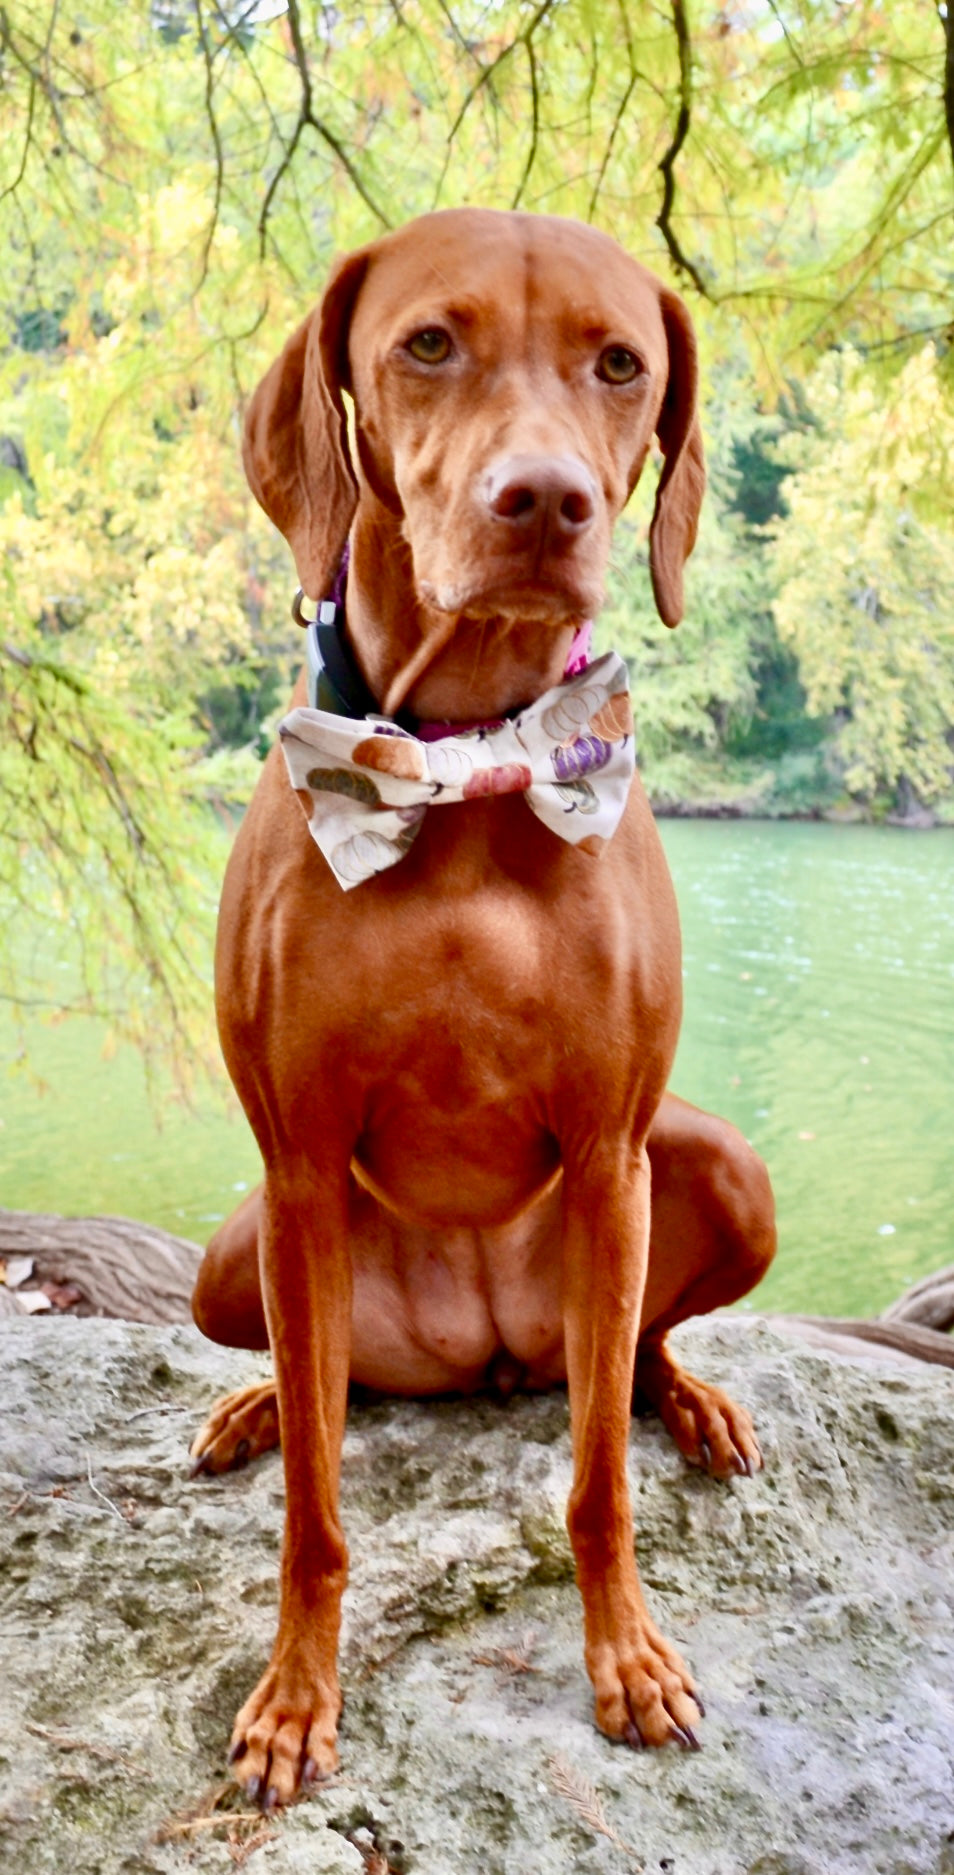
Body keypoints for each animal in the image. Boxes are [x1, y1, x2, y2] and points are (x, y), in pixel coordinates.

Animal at [191, 209, 772, 1815]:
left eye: (620, 363)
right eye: (428, 344)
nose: (546, 501)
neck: (460, 765)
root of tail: (483, 1353)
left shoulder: (614, 1149)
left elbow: (596, 1484)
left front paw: (627, 1660)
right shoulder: (296, 1164)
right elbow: (317, 1517)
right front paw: (294, 1701)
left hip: (704, 1176)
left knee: (624, 1358)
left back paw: (689, 1399)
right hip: (236, 1251)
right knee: (307, 1379)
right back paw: (260, 1407)